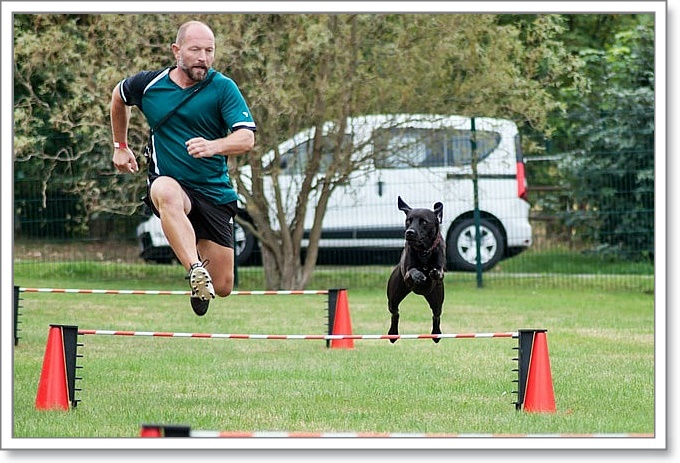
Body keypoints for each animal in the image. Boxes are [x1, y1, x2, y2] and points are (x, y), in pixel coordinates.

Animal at [388, 197, 446, 344]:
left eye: (424, 221)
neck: (423, 251)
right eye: (408, 220)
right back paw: (393, 334)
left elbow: (439, 272)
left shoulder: (440, 268)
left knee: (436, 315)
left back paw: (436, 335)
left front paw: (433, 273)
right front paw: (419, 275)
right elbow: (411, 271)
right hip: (394, 297)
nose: (410, 232)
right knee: (395, 313)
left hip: (437, 298)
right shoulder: (407, 275)